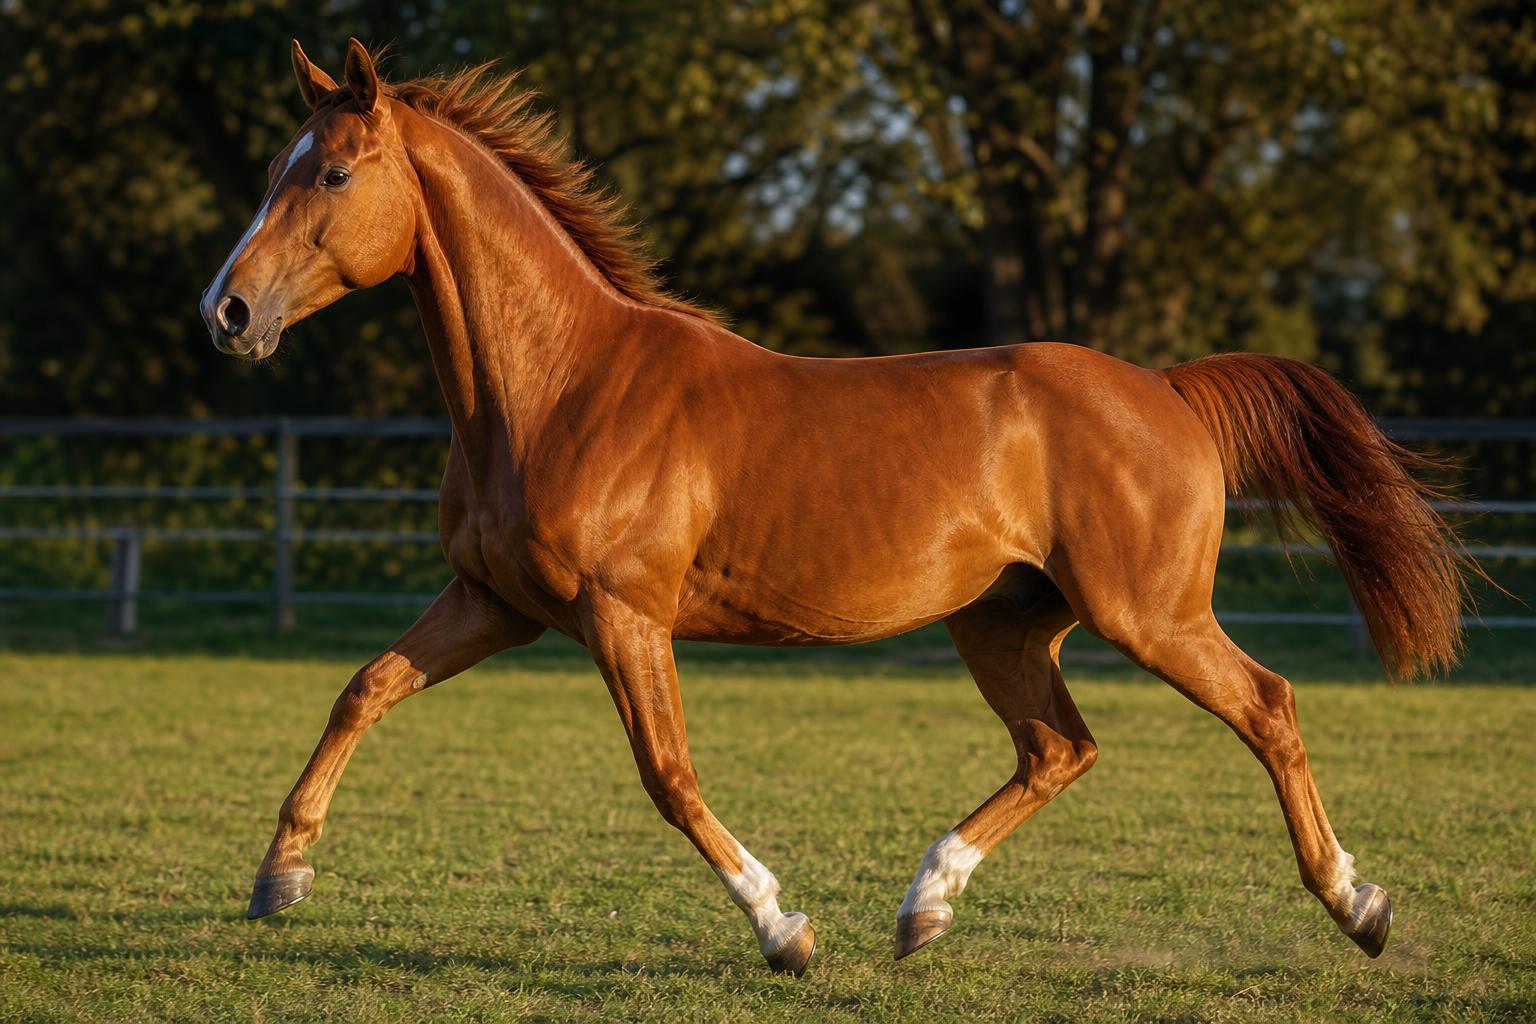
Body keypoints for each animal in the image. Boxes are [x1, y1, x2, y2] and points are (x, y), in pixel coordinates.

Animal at [201, 39, 1471, 975]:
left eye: (333, 174)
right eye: (274, 169)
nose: (227, 312)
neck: (561, 387)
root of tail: (1165, 388)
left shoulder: (624, 617)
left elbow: (669, 776)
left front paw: (784, 929)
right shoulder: (494, 602)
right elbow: (363, 688)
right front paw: (280, 876)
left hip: (1148, 615)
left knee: (1266, 705)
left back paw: (1358, 905)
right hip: (1003, 623)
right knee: (1059, 747)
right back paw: (924, 908)